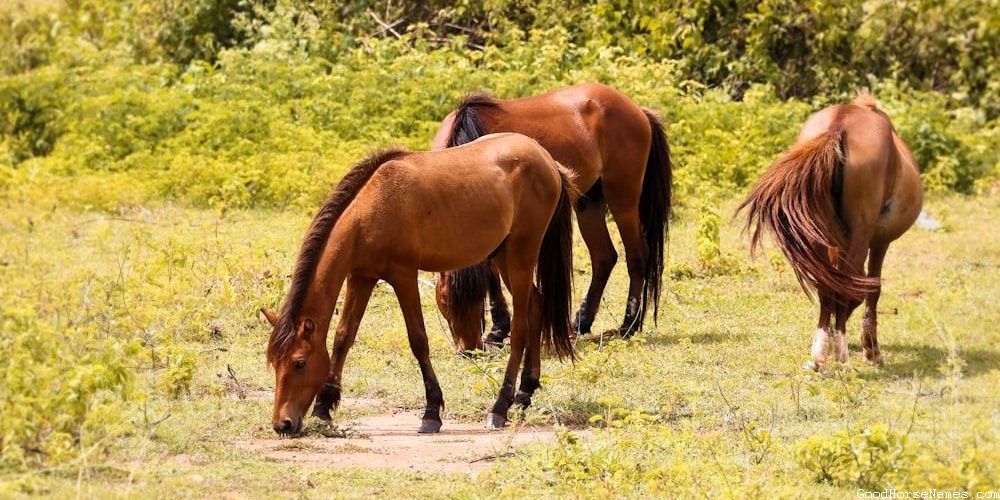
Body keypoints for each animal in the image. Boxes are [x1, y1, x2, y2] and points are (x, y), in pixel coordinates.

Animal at [261, 133, 576, 434]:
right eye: (274, 362)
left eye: (299, 363)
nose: (282, 424)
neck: (371, 209)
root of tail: (547, 160)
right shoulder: (361, 277)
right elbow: (343, 337)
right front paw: (324, 406)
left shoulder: (403, 275)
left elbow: (418, 340)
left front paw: (431, 411)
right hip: (502, 255)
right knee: (536, 307)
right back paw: (525, 393)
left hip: (521, 254)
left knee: (521, 326)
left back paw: (500, 406)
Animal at [431, 83, 672, 351]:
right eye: (445, 303)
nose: (469, 350)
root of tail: (638, 111)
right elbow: (491, 277)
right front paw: (498, 329)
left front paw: (500, 329)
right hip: (588, 202)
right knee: (604, 257)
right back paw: (582, 321)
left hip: (623, 200)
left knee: (637, 256)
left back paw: (628, 325)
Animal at [738, 93, 923, 369]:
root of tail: (840, 123)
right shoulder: (880, 242)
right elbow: (871, 289)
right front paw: (872, 350)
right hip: (861, 233)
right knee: (844, 286)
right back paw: (841, 354)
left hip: (819, 233)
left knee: (827, 285)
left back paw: (819, 354)